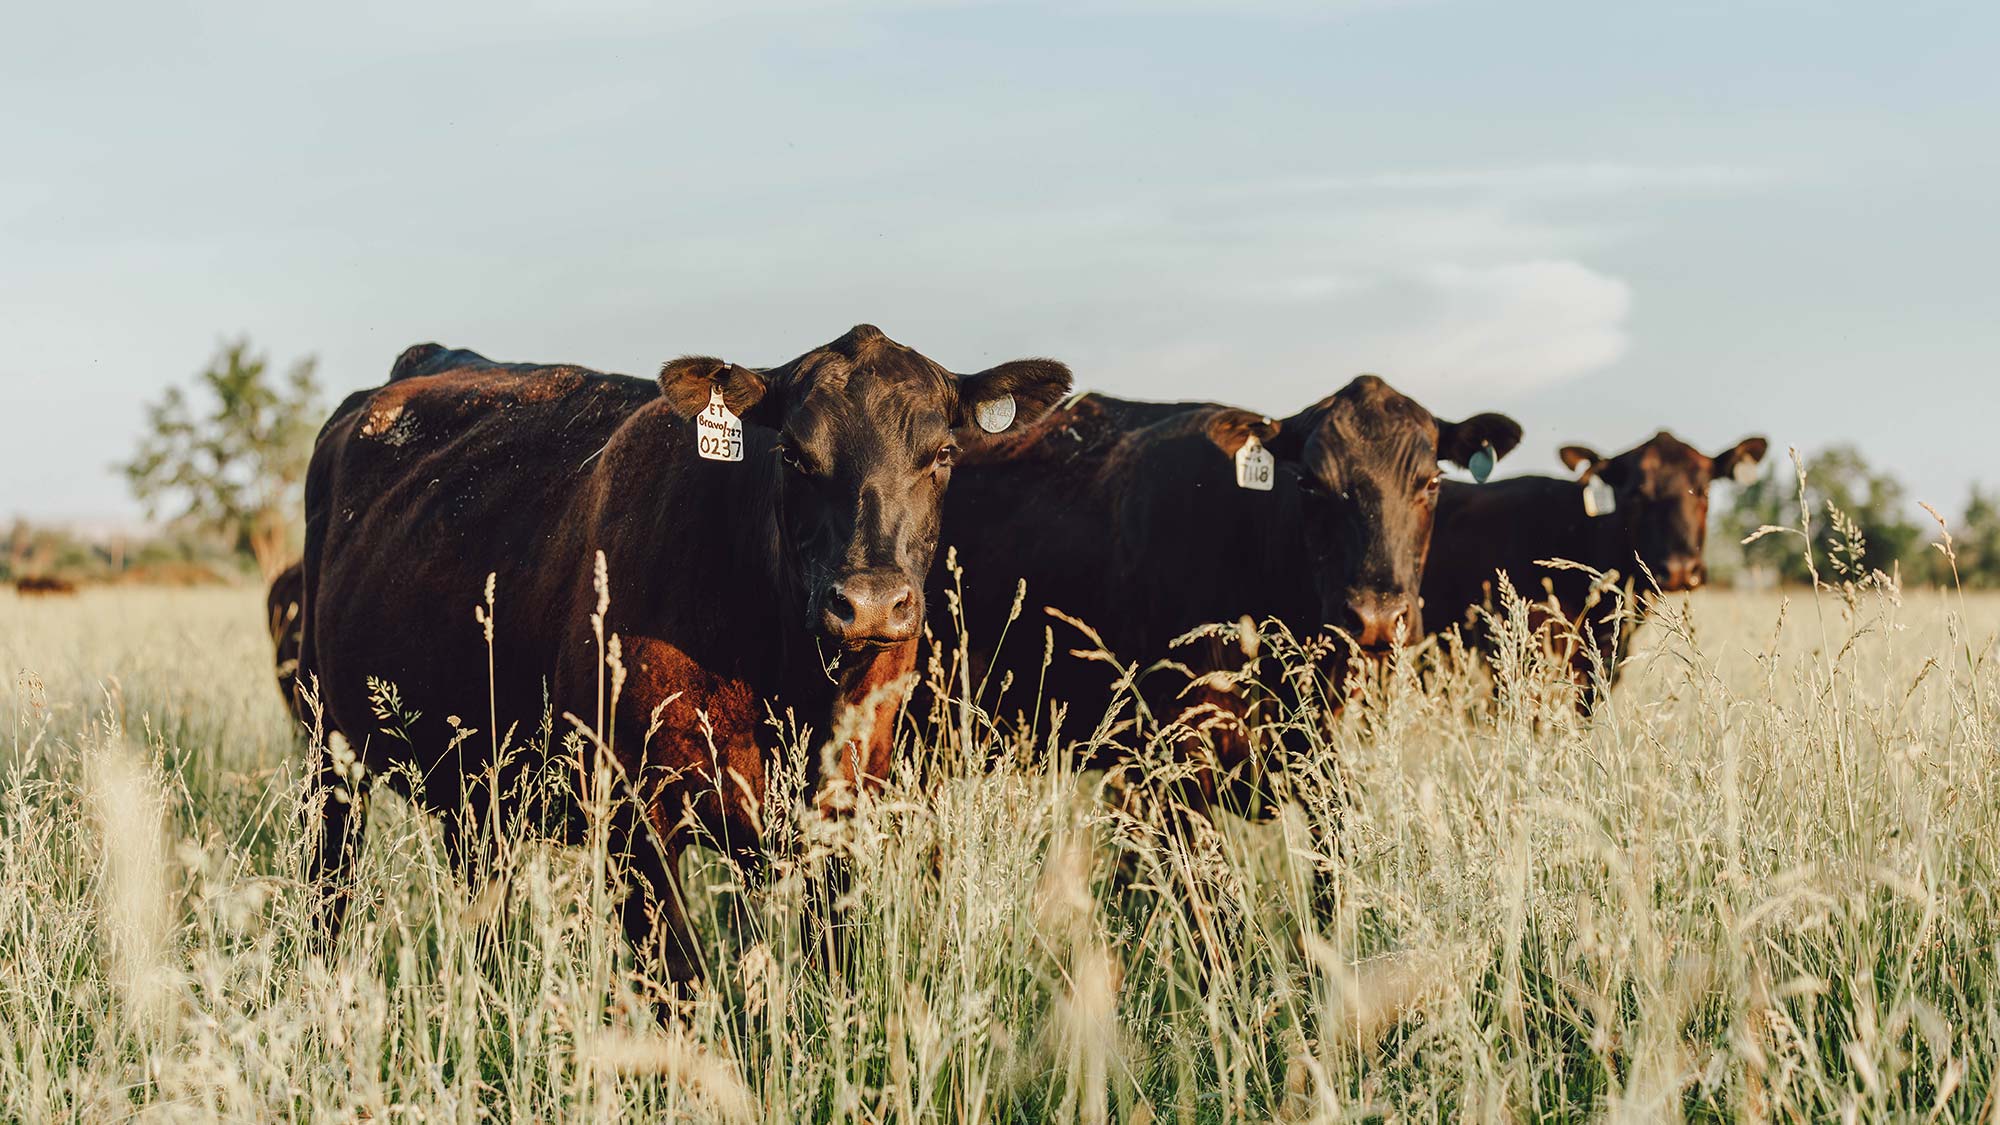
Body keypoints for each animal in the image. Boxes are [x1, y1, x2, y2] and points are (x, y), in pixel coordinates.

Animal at [292, 322, 1072, 980]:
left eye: (942, 454)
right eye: (793, 453)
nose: (871, 600)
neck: (791, 684)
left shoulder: (840, 813)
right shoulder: (636, 821)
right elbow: (685, 987)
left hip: (478, 787)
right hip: (325, 750)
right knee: (327, 885)